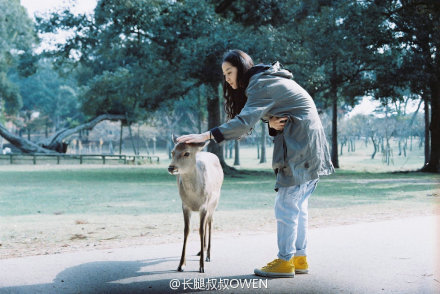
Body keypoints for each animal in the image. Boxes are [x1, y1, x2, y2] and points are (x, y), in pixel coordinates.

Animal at [168, 136, 223, 274]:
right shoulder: (184, 206)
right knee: (206, 224)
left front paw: (201, 266)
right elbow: (186, 231)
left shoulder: (204, 205)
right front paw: (181, 265)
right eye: (172, 152)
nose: (171, 168)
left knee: (210, 222)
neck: (194, 197)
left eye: (187, 153)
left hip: (215, 201)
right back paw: (201, 250)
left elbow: (200, 230)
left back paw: (208, 255)